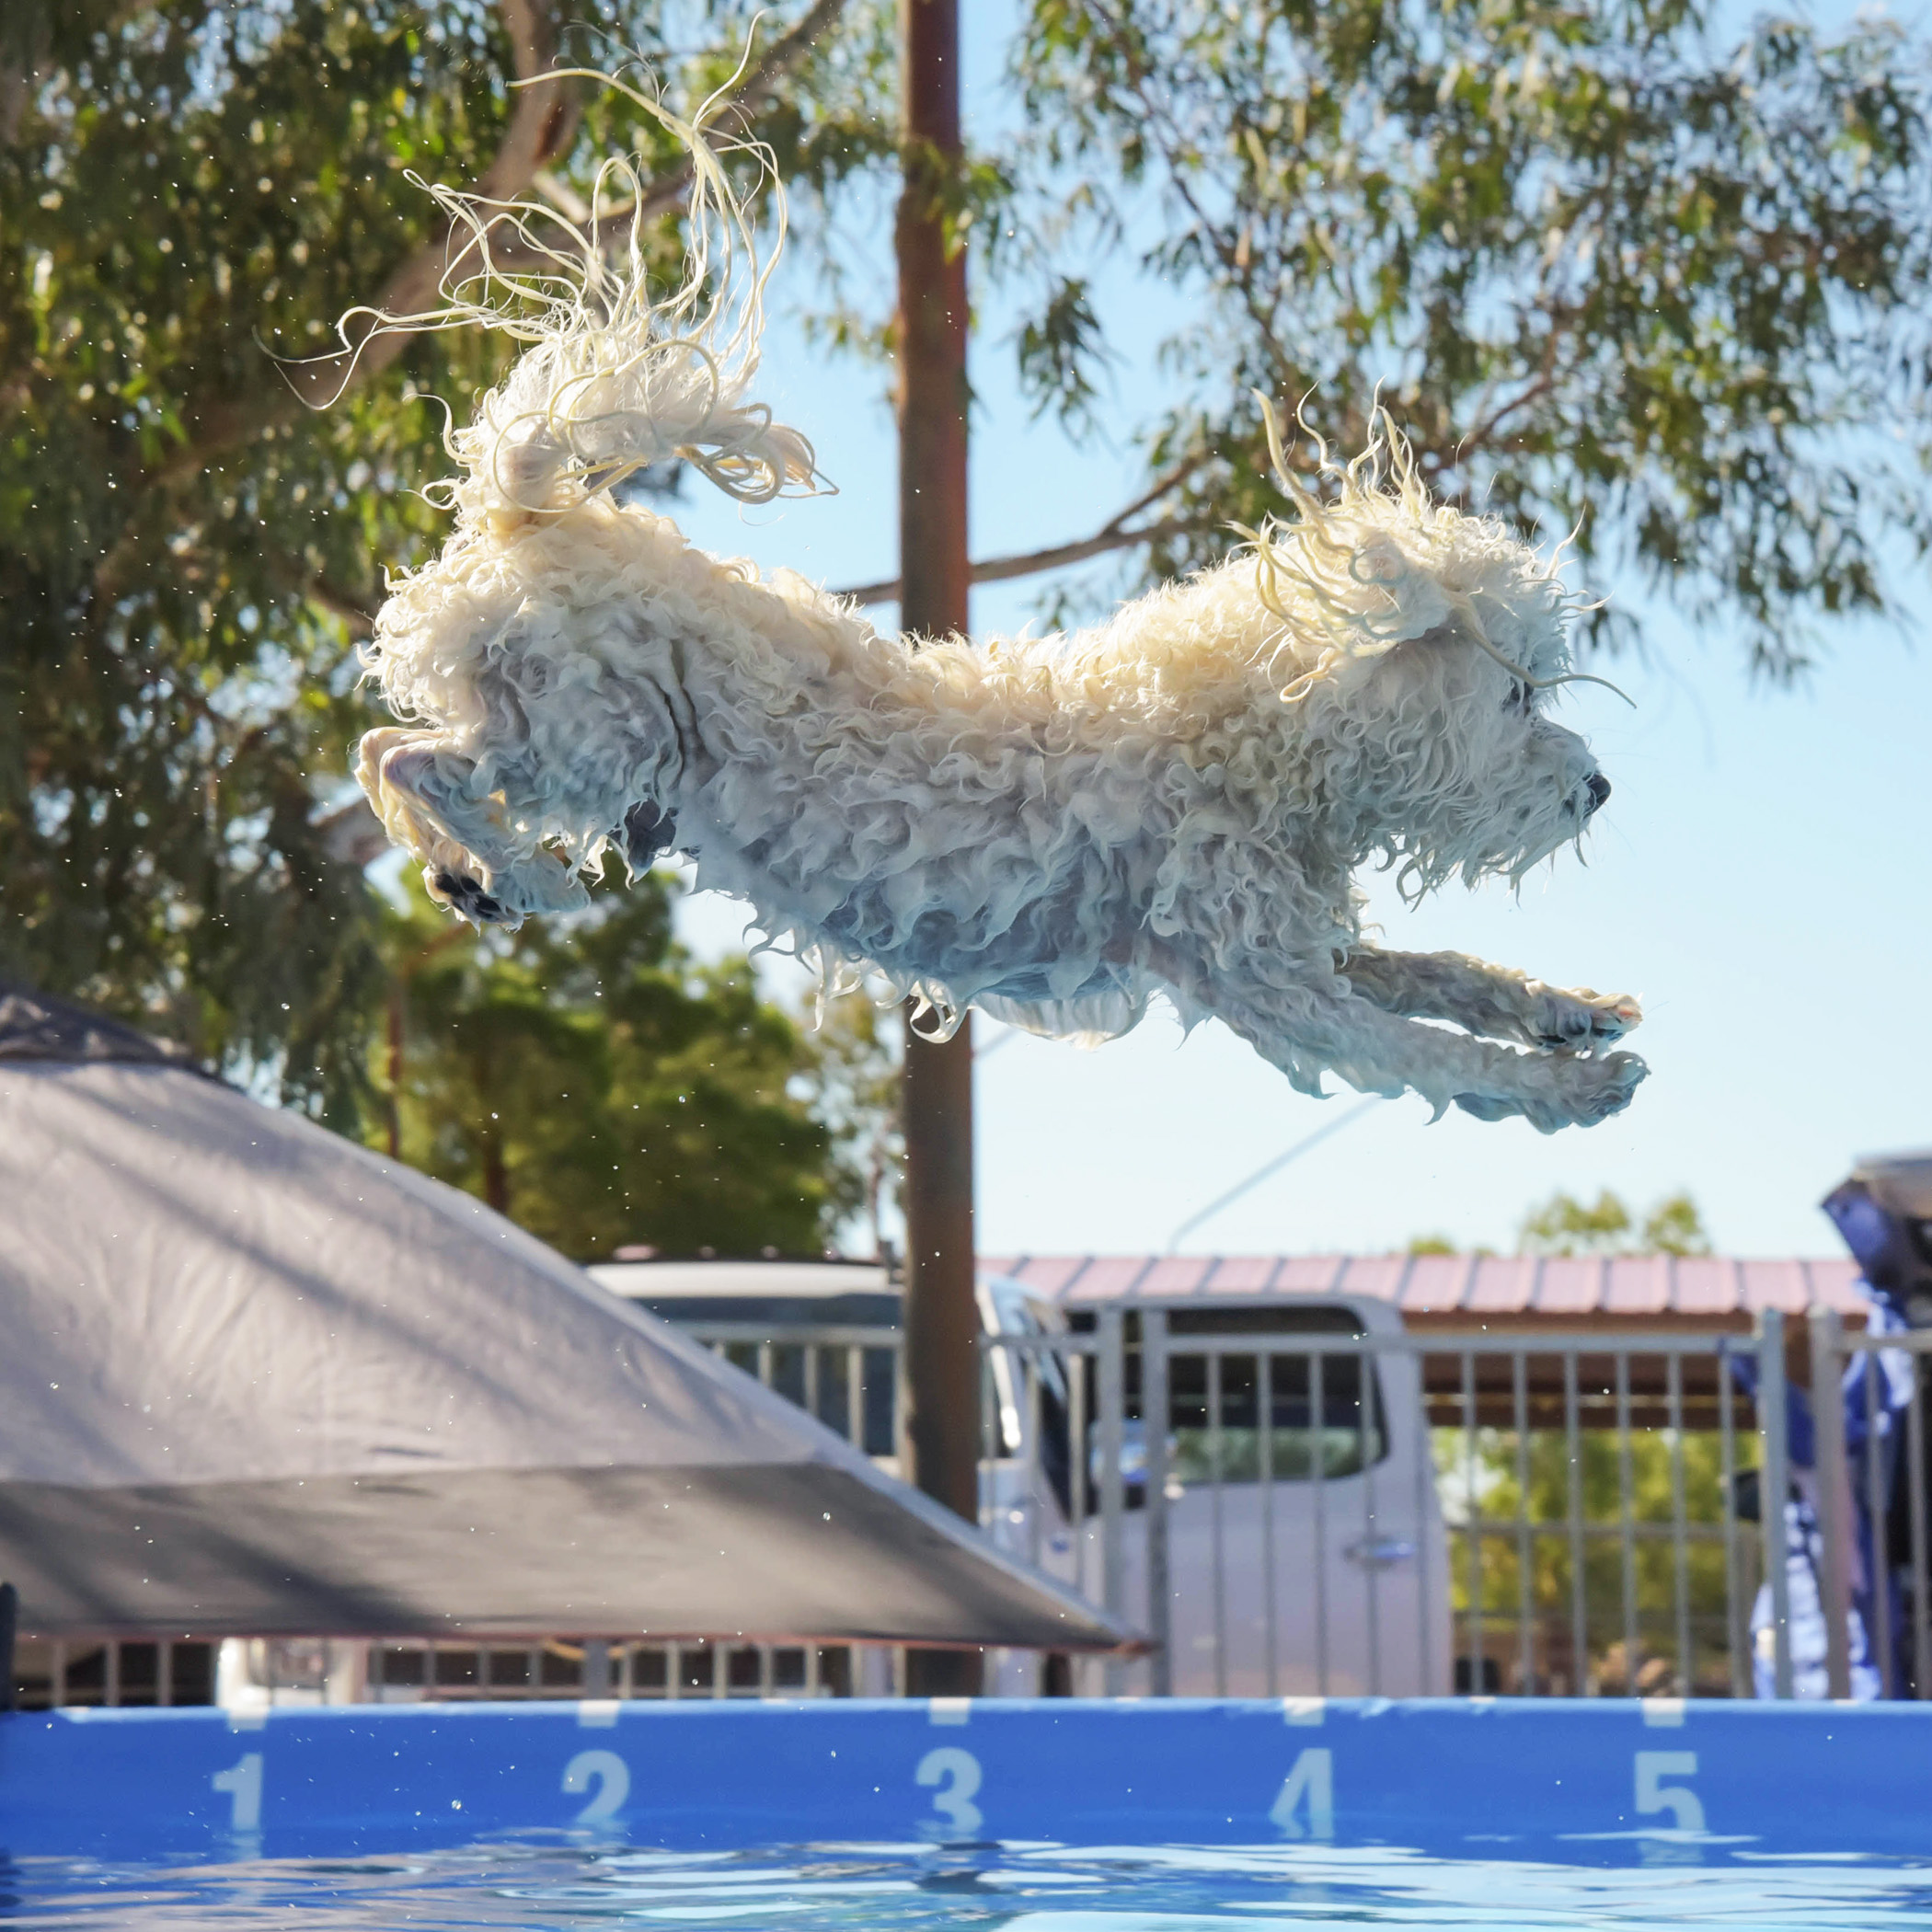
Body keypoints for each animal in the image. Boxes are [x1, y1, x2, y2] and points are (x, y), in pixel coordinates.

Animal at [347, 79, 1646, 1128]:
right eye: (1520, 697)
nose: (1597, 787)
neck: (1251, 744)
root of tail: (525, 511)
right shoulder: (1274, 991)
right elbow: (1430, 1054)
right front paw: (1568, 1089)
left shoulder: (1301, 944)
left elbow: (1437, 974)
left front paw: (1562, 1009)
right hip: (592, 738)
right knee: (406, 758)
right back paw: (512, 875)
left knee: (384, 752)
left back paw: (472, 876)